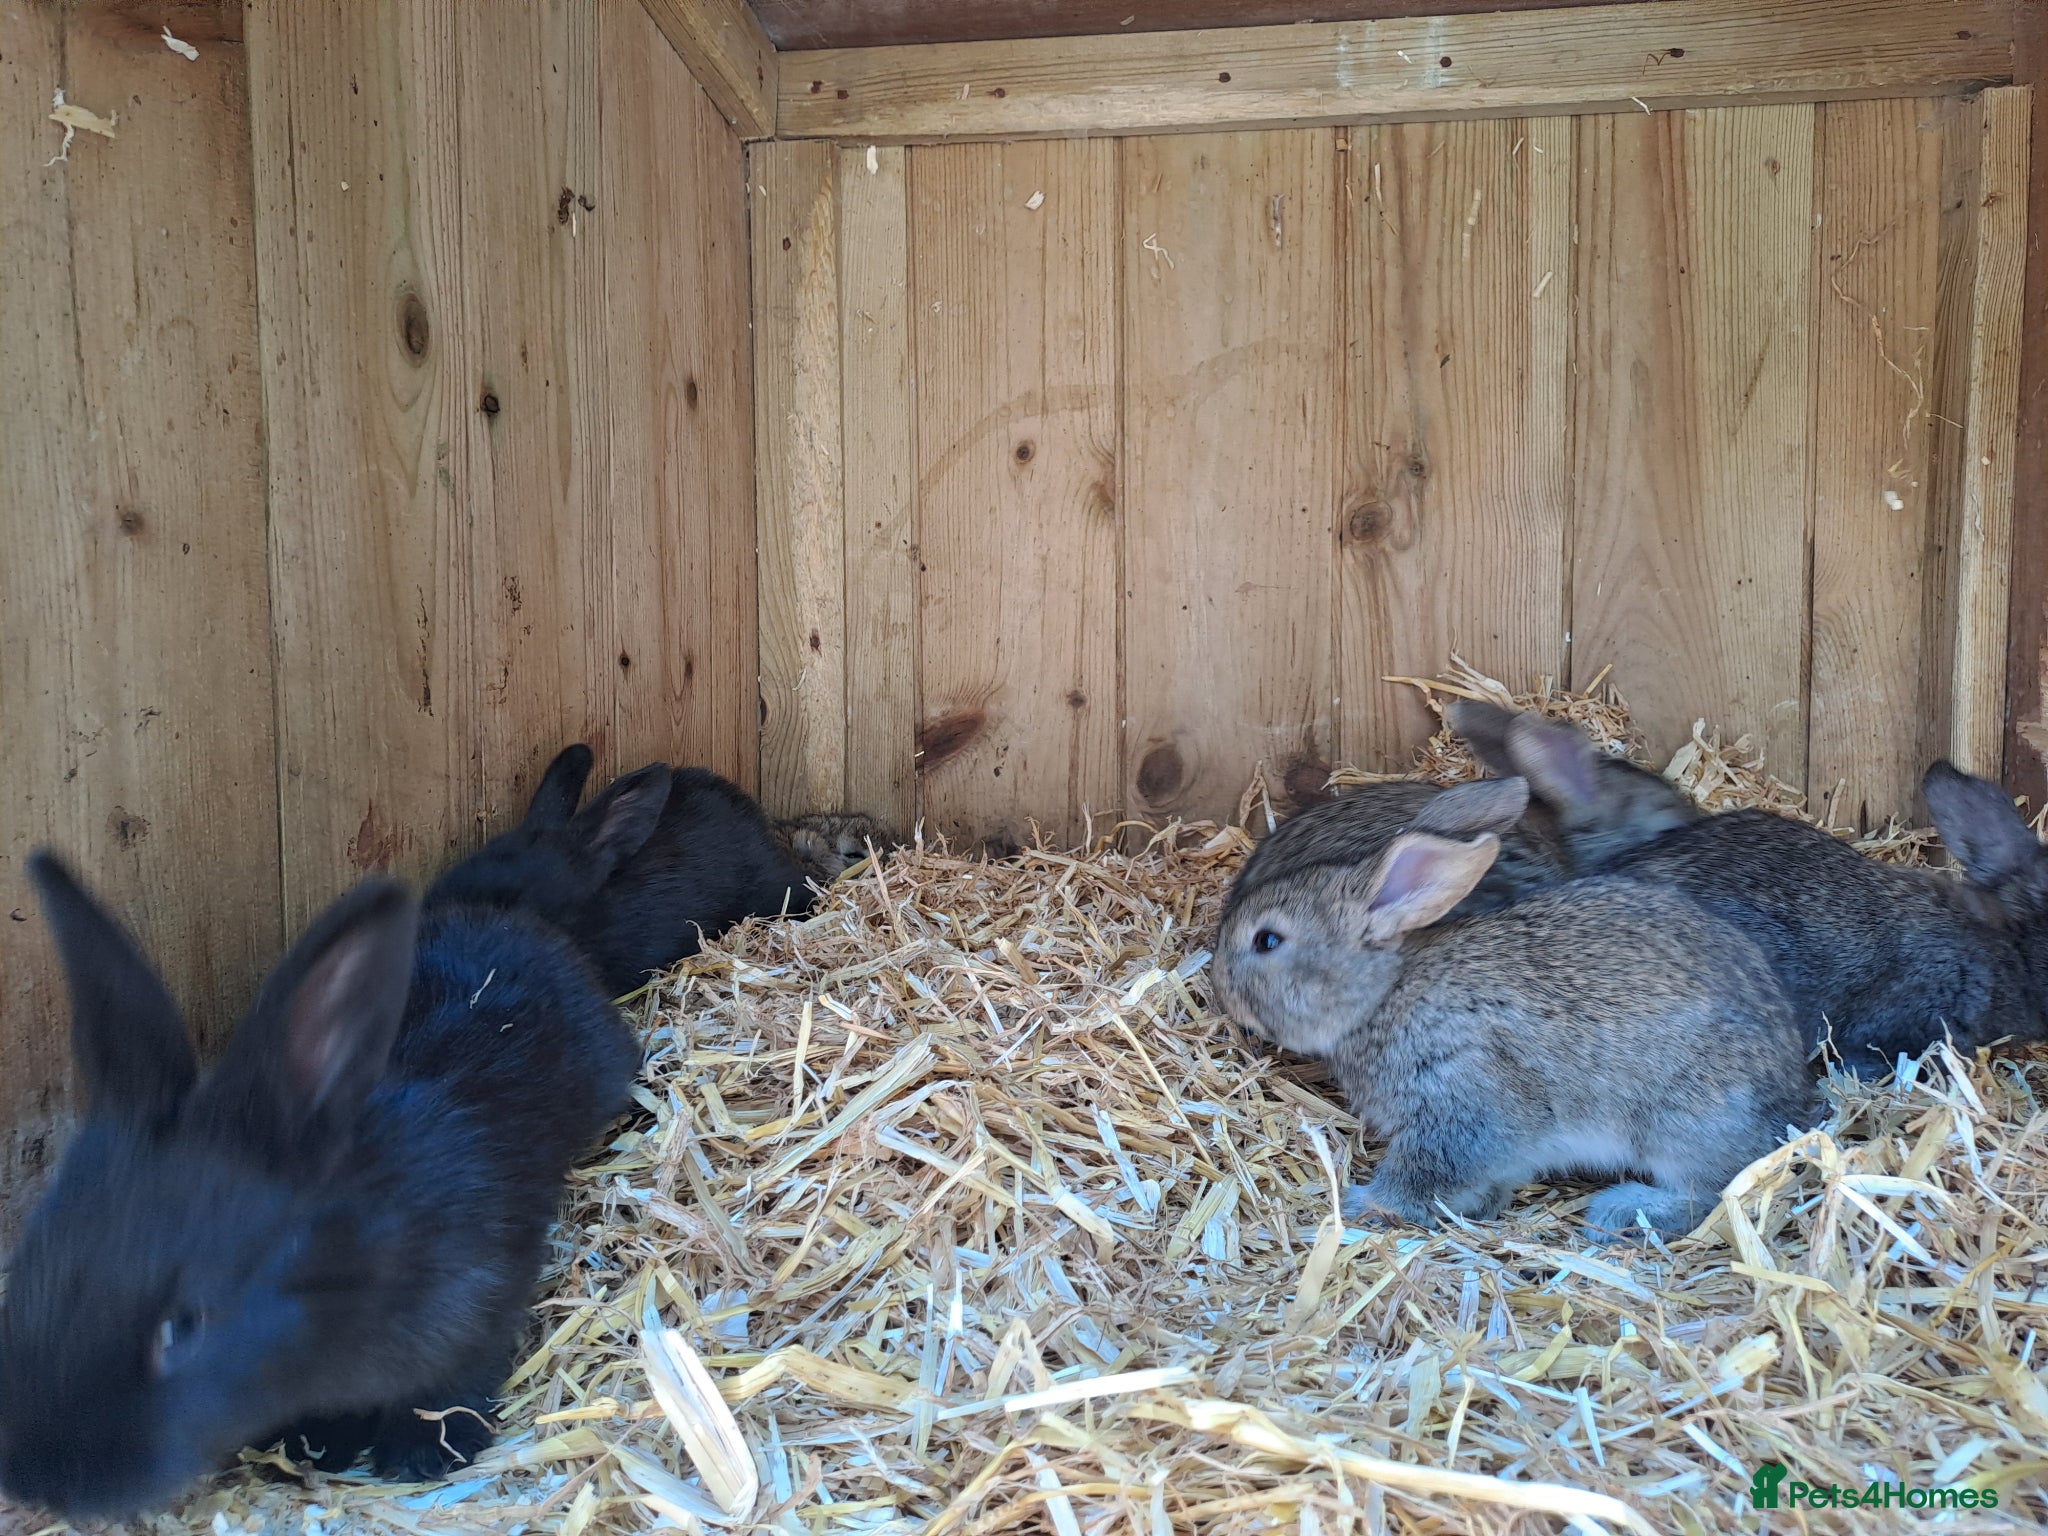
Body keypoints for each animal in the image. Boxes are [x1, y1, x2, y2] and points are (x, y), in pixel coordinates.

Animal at [0, 852, 638, 1520]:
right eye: (24, 1275)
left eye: (184, 1325)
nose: (39, 1484)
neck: (345, 1267)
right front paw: (313, 1445)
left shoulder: (481, 1300)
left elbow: (454, 1384)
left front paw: (424, 1453)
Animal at [1212, 776, 1814, 1240]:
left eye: (1267, 941)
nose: (1220, 985)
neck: (1384, 994)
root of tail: (1794, 1101)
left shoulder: (1463, 1101)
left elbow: (1423, 1172)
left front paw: (1365, 1203)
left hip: (1683, 1126)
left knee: (1718, 1194)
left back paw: (1621, 1210)